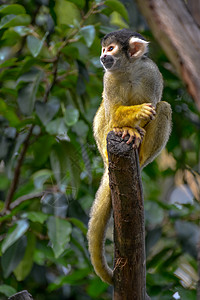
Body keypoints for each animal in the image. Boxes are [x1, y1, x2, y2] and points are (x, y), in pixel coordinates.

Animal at [87, 29, 172, 284]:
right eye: (103, 49)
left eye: (110, 49)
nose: (102, 56)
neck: (128, 70)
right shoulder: (108, 79)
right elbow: (114, 114)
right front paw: (129, 126)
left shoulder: (151, 73)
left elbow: (153, 107)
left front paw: (138, 126)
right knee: (105, 112)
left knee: (164, 108)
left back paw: (141, 156)